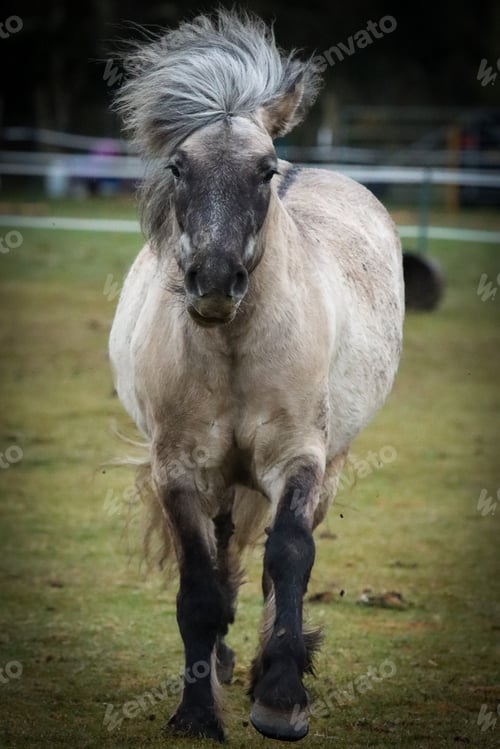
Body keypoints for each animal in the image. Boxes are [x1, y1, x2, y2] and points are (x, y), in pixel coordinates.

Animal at [109, 10, 404, 743]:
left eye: (265, 171)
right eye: (179, 166)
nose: (214, 281)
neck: (233, 348)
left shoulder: (298, 457)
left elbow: (290, 555)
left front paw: (280, 697)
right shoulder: (179, 469)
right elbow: (199, 586)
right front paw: (195, 711)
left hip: (331, 464)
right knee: (223, 552)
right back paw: (219, 662)